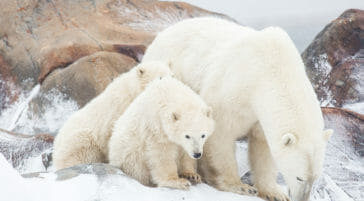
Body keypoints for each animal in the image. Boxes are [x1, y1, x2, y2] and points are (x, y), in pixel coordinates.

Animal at [141, 17, 332, 201]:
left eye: (314, 178)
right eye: (299, 177)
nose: (301, 199)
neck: (271, 69)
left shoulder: (262, 115)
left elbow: (263, 146)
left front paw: (274, 193)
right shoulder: (234, 90)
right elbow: (220, 132)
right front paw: (239, 186)